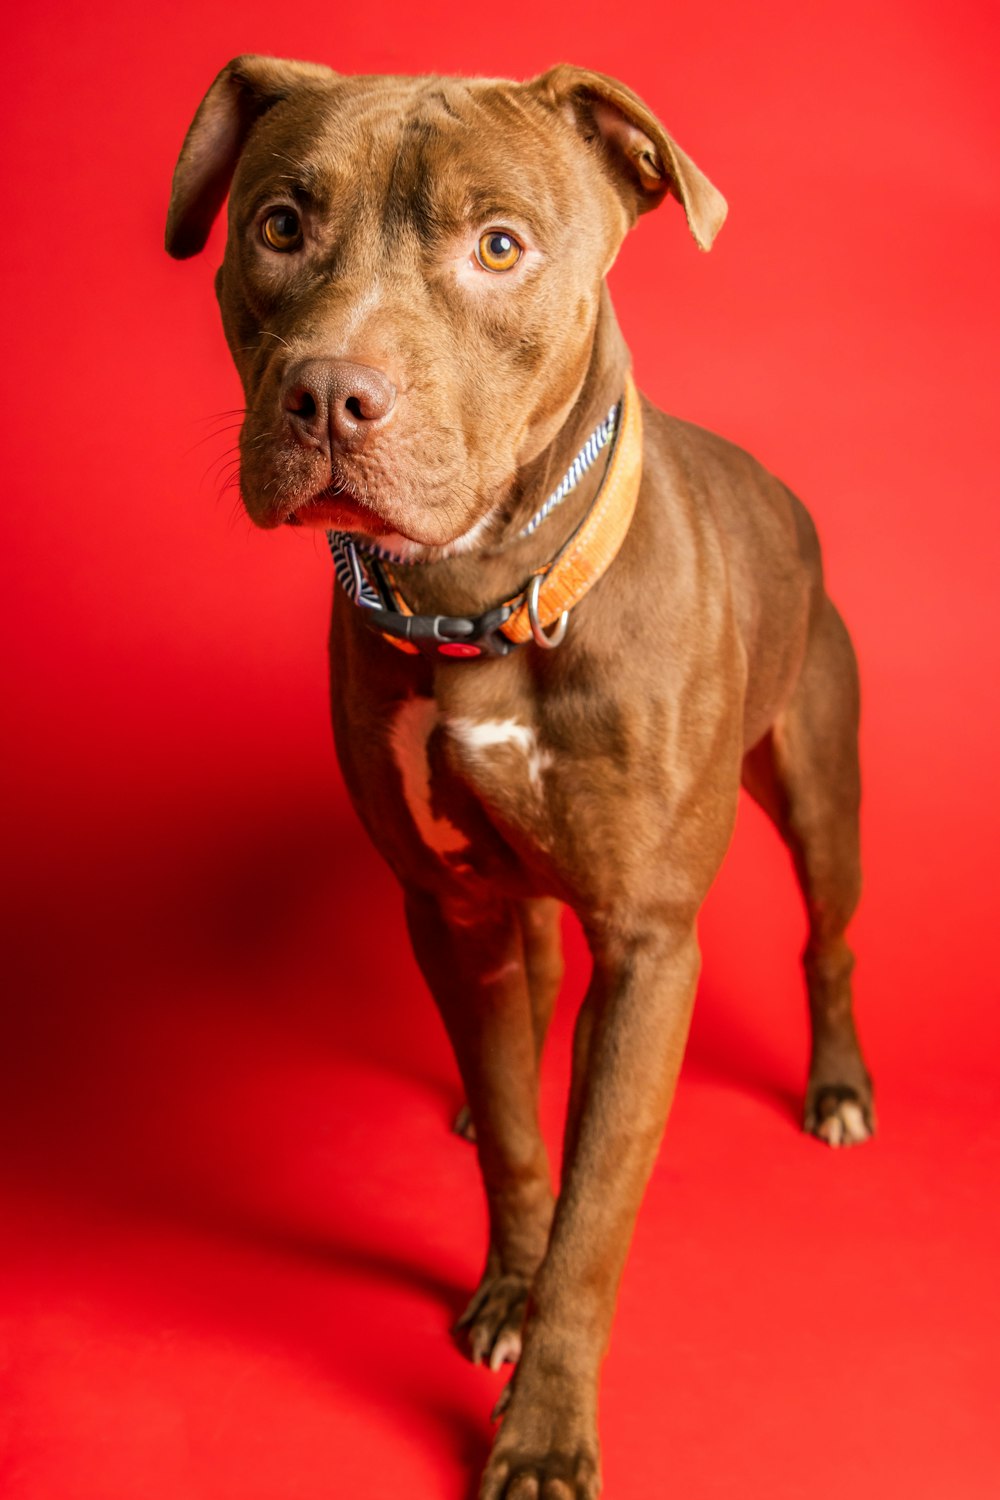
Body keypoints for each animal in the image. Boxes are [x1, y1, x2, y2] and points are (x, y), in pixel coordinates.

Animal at [167, 58, 869, 1500]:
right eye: (278, 225)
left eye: (500, 246)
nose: (330, 394)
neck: (482, 600)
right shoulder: (453, 906)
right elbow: (514, 1133)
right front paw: (504, 1278)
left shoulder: (653, 946)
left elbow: (598, 1215)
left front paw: (543, 1427)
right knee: (536, 999)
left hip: (823, 797)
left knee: (825, 940)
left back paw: (833, 1086)